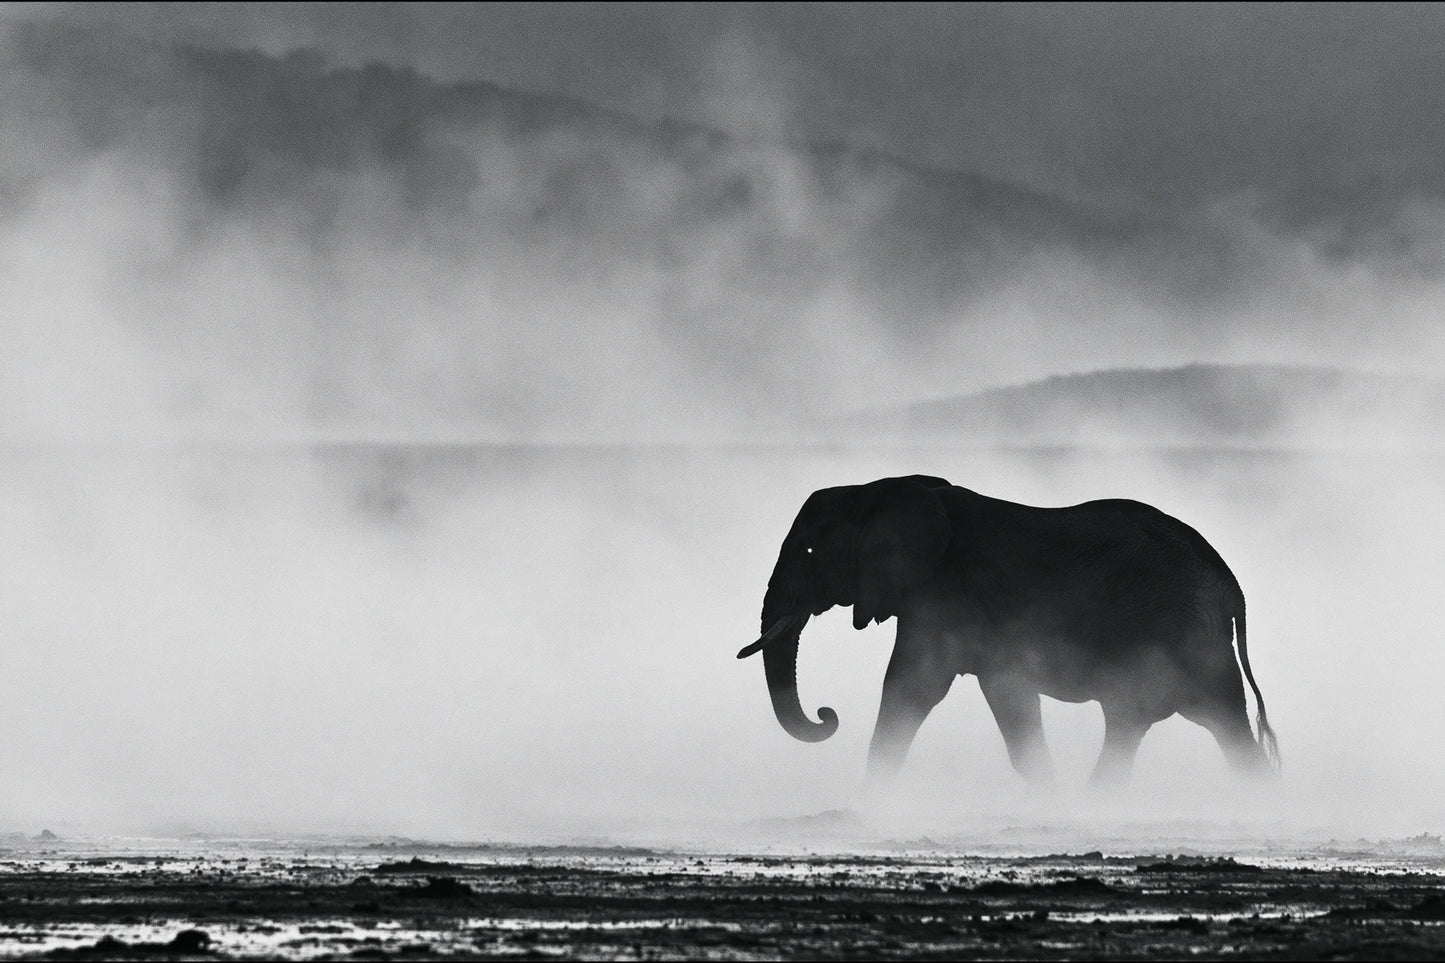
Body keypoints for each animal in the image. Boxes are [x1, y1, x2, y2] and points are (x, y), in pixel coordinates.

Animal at [738, 475, 1278, 788]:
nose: (827, 715)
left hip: (1182, 636)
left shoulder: (945, 596)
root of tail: (1230, 584)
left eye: (809, 552)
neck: (881, 490)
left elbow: (912, 688)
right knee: (1183, 726)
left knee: (1177, 721)